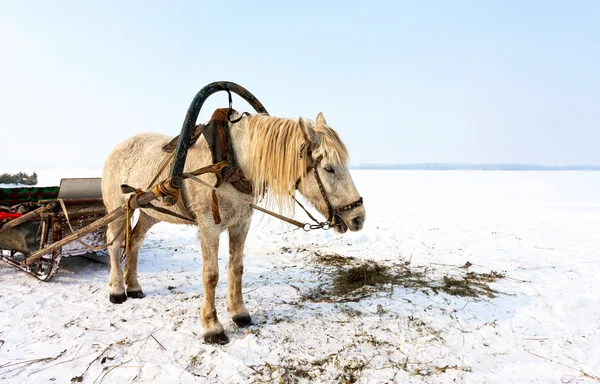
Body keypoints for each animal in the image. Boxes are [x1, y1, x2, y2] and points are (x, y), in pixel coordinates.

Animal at [101, 109, 366, 344]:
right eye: (329, 168)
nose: (359, 217)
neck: (231, 162)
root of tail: (117, 147)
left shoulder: (241, 224)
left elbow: (237, 268)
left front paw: (240, 313)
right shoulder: (209, 226)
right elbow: (211, 275)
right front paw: (212, 326)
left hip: (151, 211)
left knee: (135, 241)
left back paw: (134, 286)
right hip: (118, 208)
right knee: (114, 243)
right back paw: (117, 290)